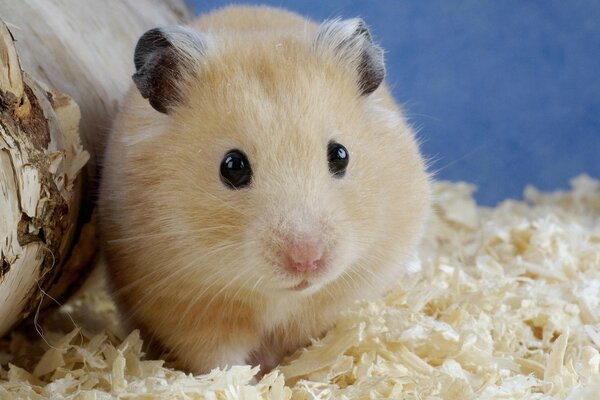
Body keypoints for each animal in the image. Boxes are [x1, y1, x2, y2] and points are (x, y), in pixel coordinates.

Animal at [98, 4, 428, 374]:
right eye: (233, 166)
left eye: (340, 155)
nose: (307, 260)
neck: (279, 296)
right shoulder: (186, 307)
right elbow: (219, 359)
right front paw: (252, 378)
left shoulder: (345, 293)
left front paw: (286, 369)